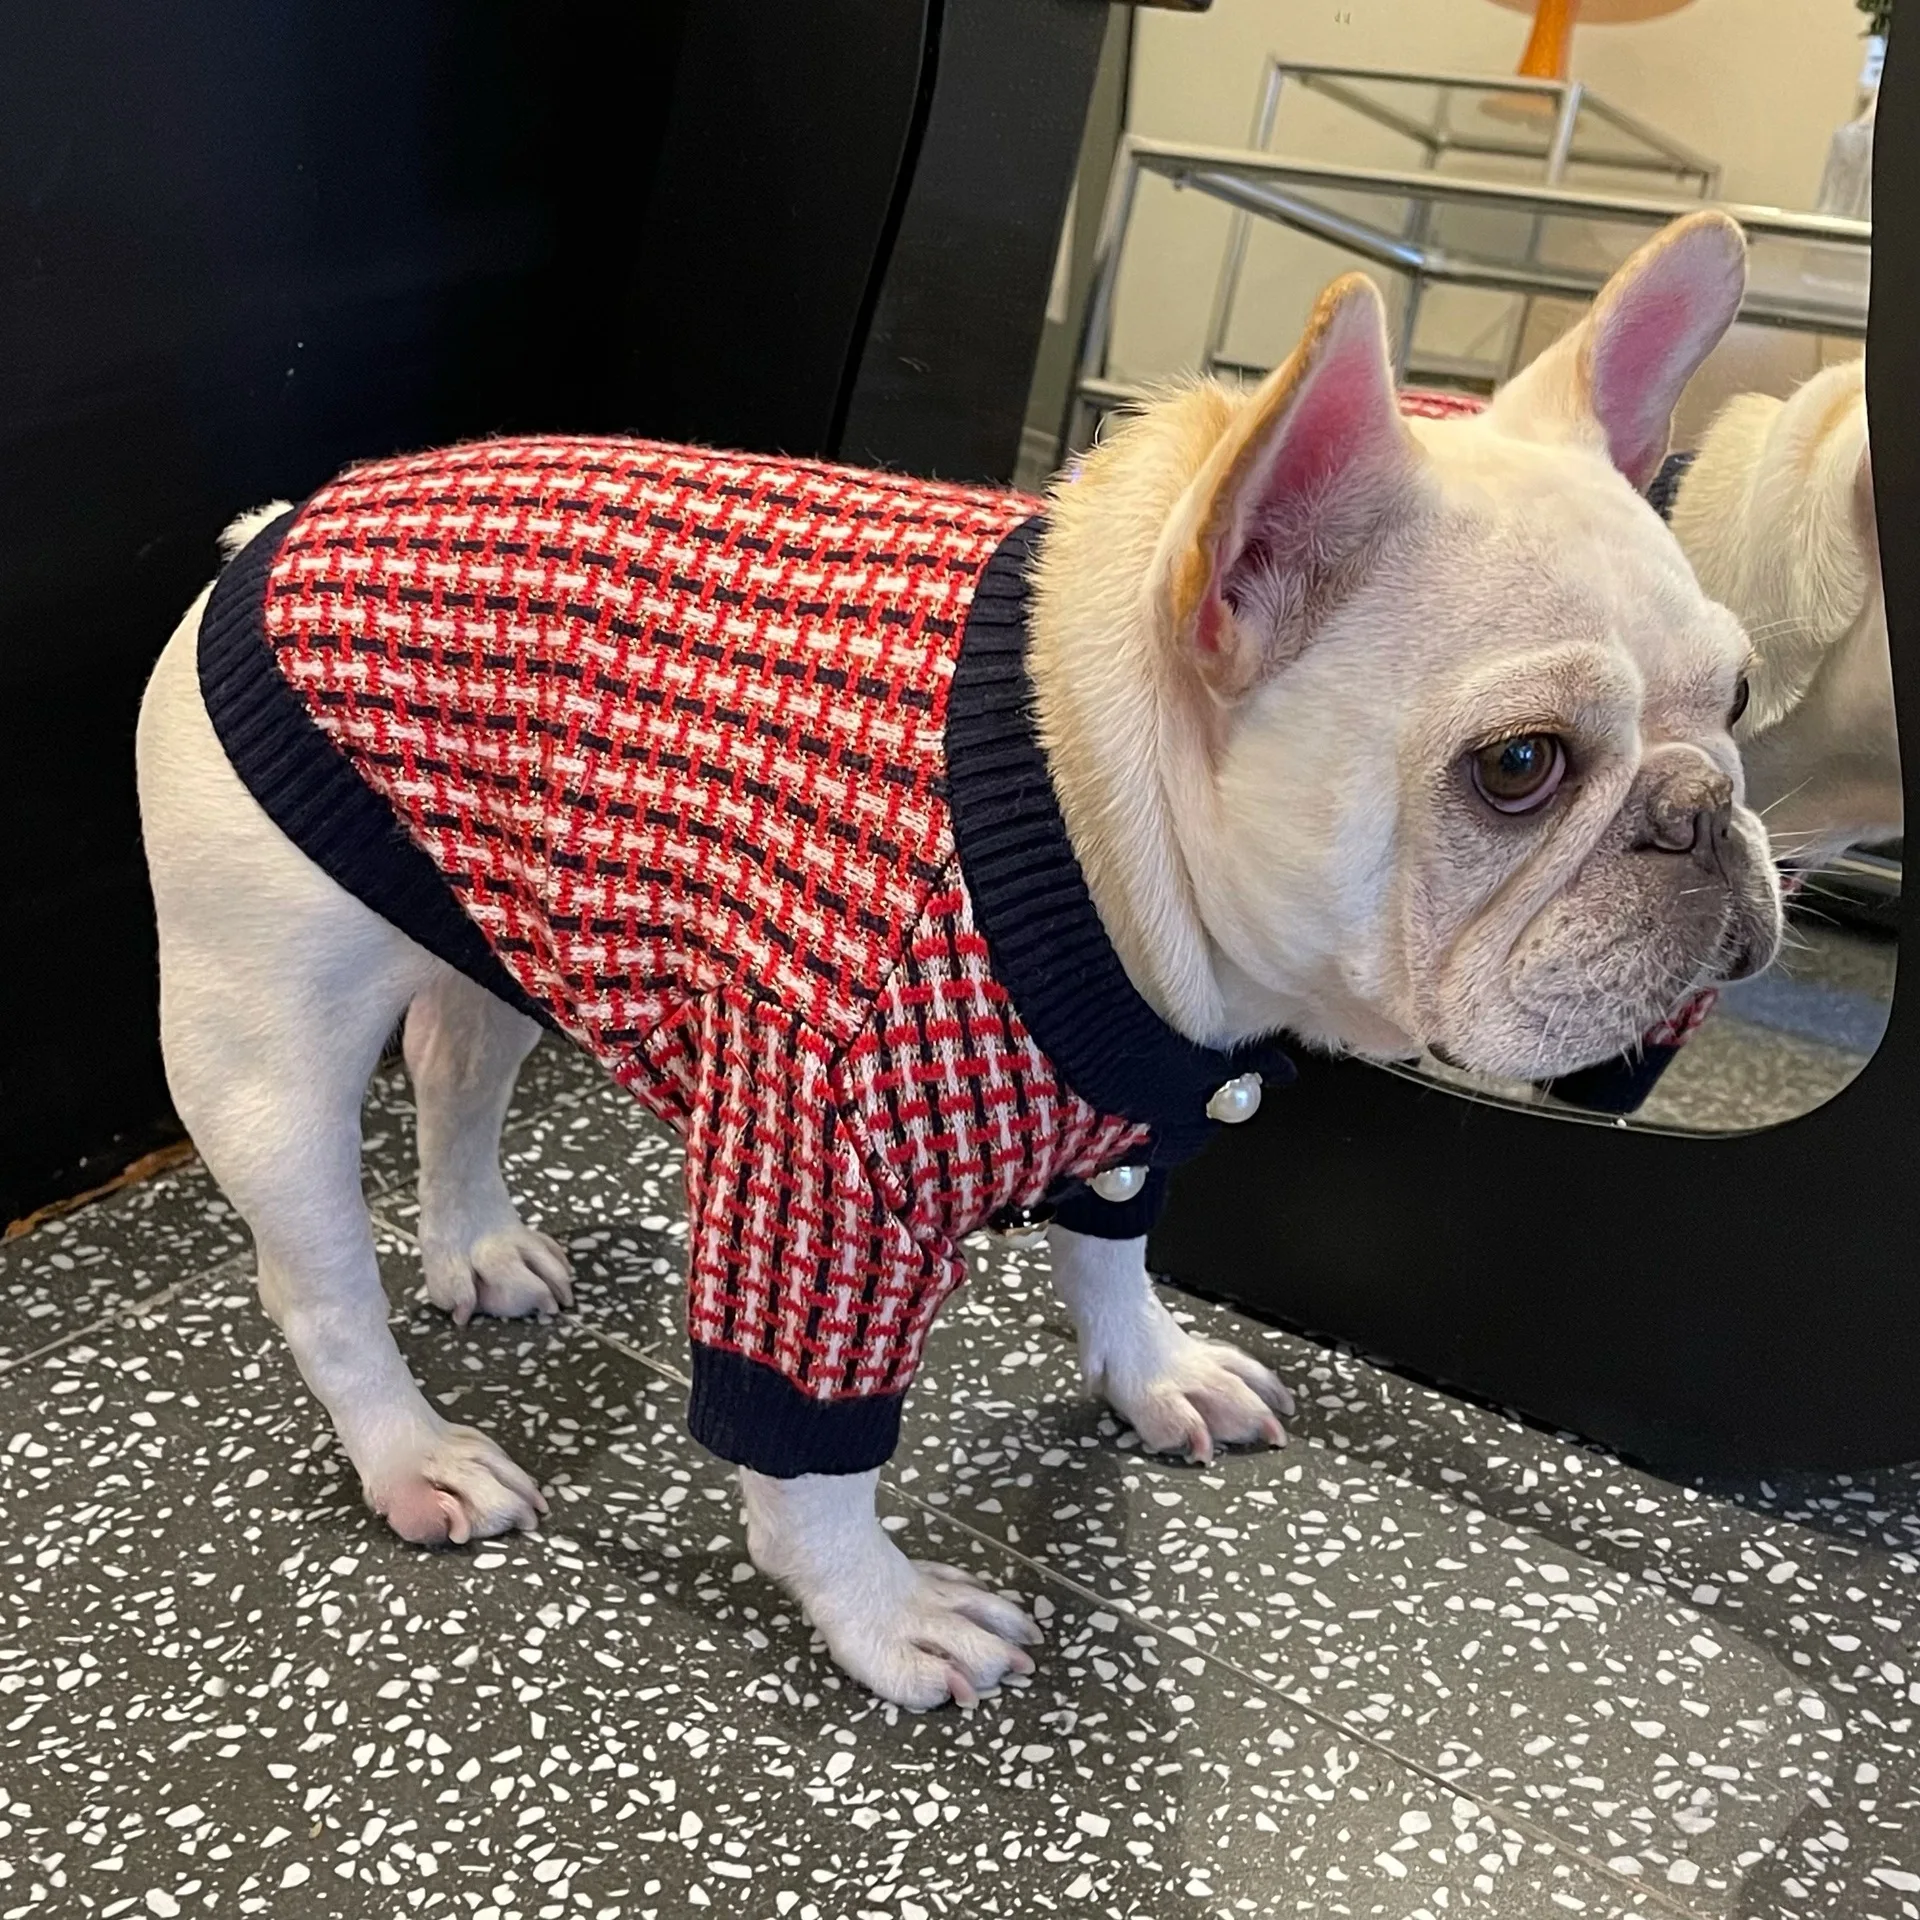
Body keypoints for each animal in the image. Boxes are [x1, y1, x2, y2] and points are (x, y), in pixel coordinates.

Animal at [135, 209, 1778, 1710]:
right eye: (1518, 769)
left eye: (1744, 696)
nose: (1703, 816)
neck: (1096, 801)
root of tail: (275, 529)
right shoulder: (821, 1174)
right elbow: (809, 1454)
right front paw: (878, 1614)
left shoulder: (1129, 1117)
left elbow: (1112, 1259)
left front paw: (1153, 1374)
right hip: (261, 1052)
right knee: (320, 1283)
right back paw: (412, 1452)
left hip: (495, 922)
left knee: (455, 1068)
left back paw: (475, 1243)